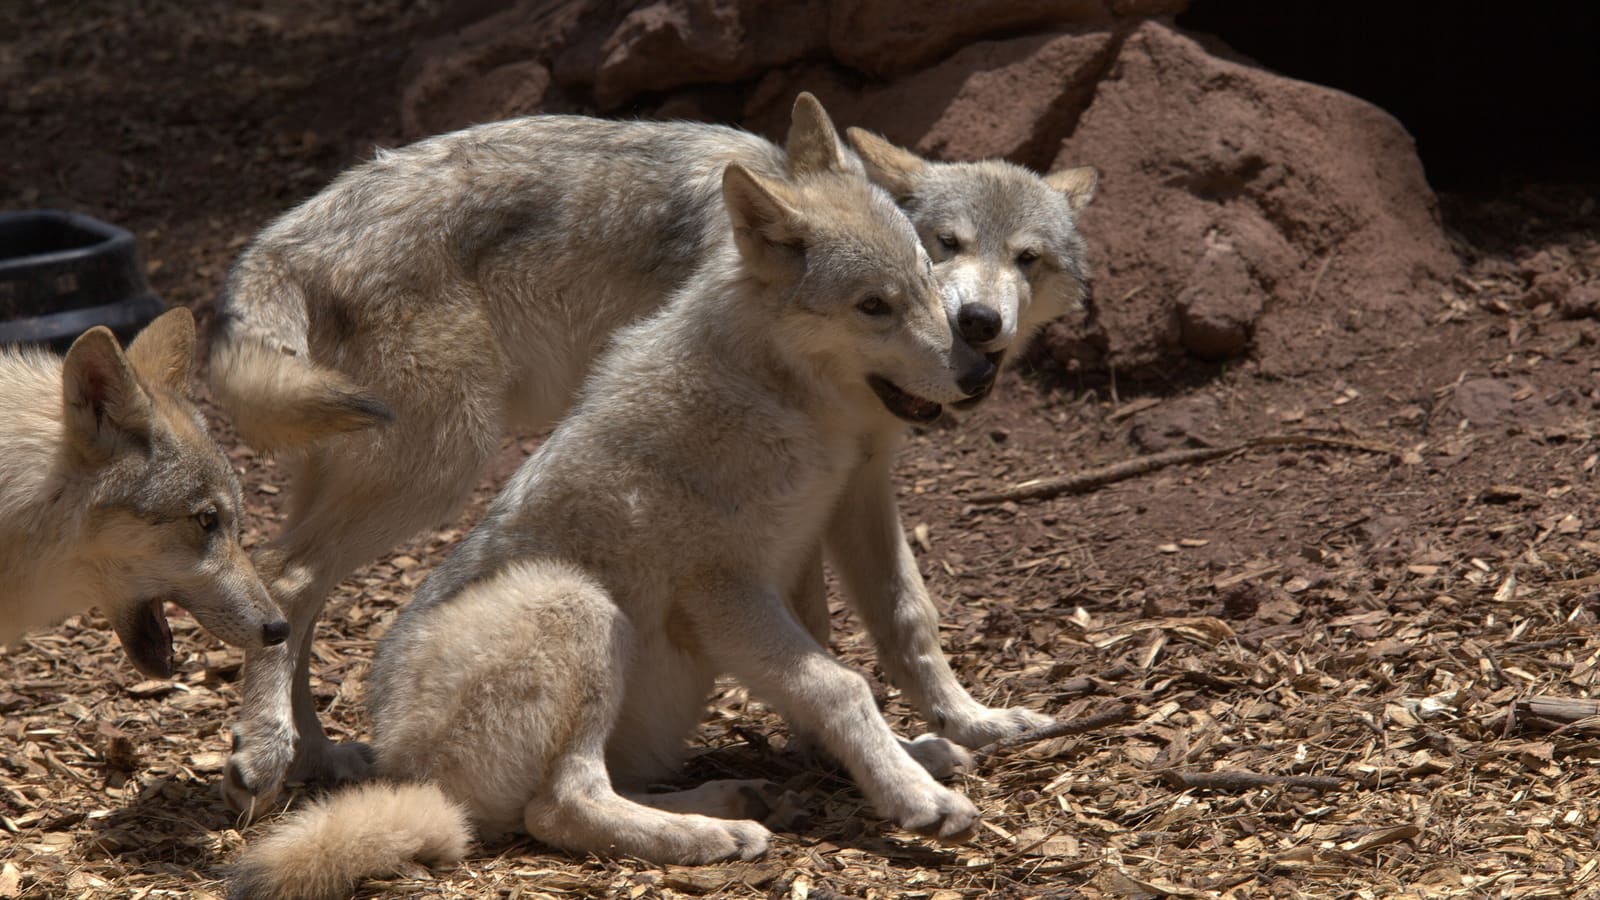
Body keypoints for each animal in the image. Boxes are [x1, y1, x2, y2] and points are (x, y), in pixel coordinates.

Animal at [209, 94, 1097, 813]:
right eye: (946, 244)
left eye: (1026, 259)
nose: (978, 342)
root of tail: (282, 239)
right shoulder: (773, 521)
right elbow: (823, 647)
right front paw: (863, 755)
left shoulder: (854, 485)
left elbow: (904, 617)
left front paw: (966, 725)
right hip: (438, 470)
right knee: (286, 576)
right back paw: (269, 749)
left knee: (298, 597)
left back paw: (317, 755)